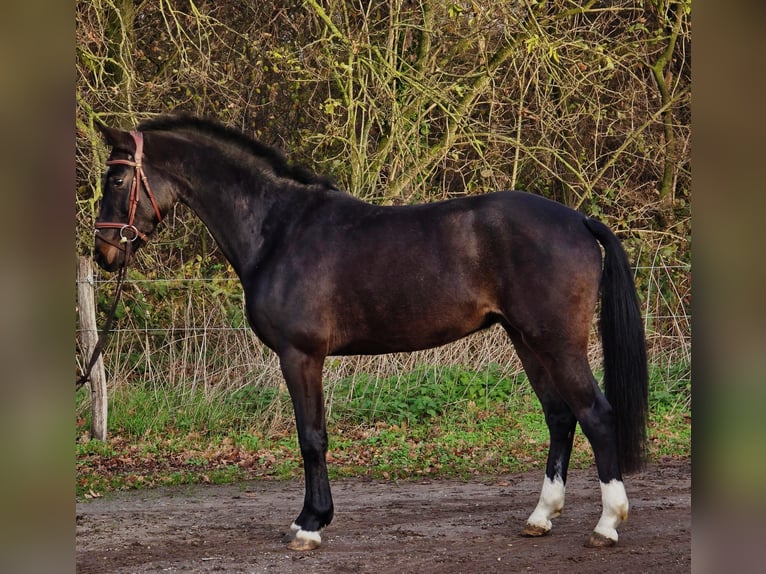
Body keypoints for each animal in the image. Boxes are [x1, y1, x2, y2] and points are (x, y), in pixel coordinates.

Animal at [91, 114, 647, 551]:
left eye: (116, 180)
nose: (104, 253)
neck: (278, 229)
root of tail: (578, 219)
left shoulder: (300, 355)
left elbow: (311, 437)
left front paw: (310, 524)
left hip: (557, 342)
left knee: (596, 415)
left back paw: (606, 525)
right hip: (526, 340)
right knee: (560, 416)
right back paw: (541, 517)